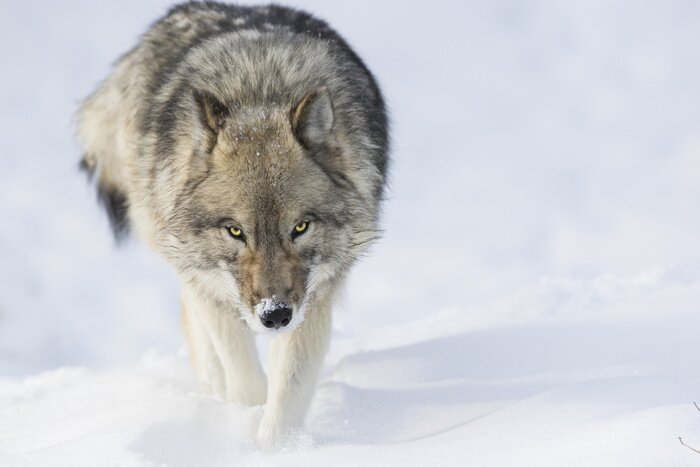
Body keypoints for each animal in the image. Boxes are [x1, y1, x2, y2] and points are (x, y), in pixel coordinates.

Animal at [76, 1, 388, 448]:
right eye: (236, 231)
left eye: (300, 228)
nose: (275, 316)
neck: (259, 93)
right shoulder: (211, 286)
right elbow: (245, 380)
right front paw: (244, 418)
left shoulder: (316, 296)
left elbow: (288, 391)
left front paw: (278, 448)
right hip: (182, 257)